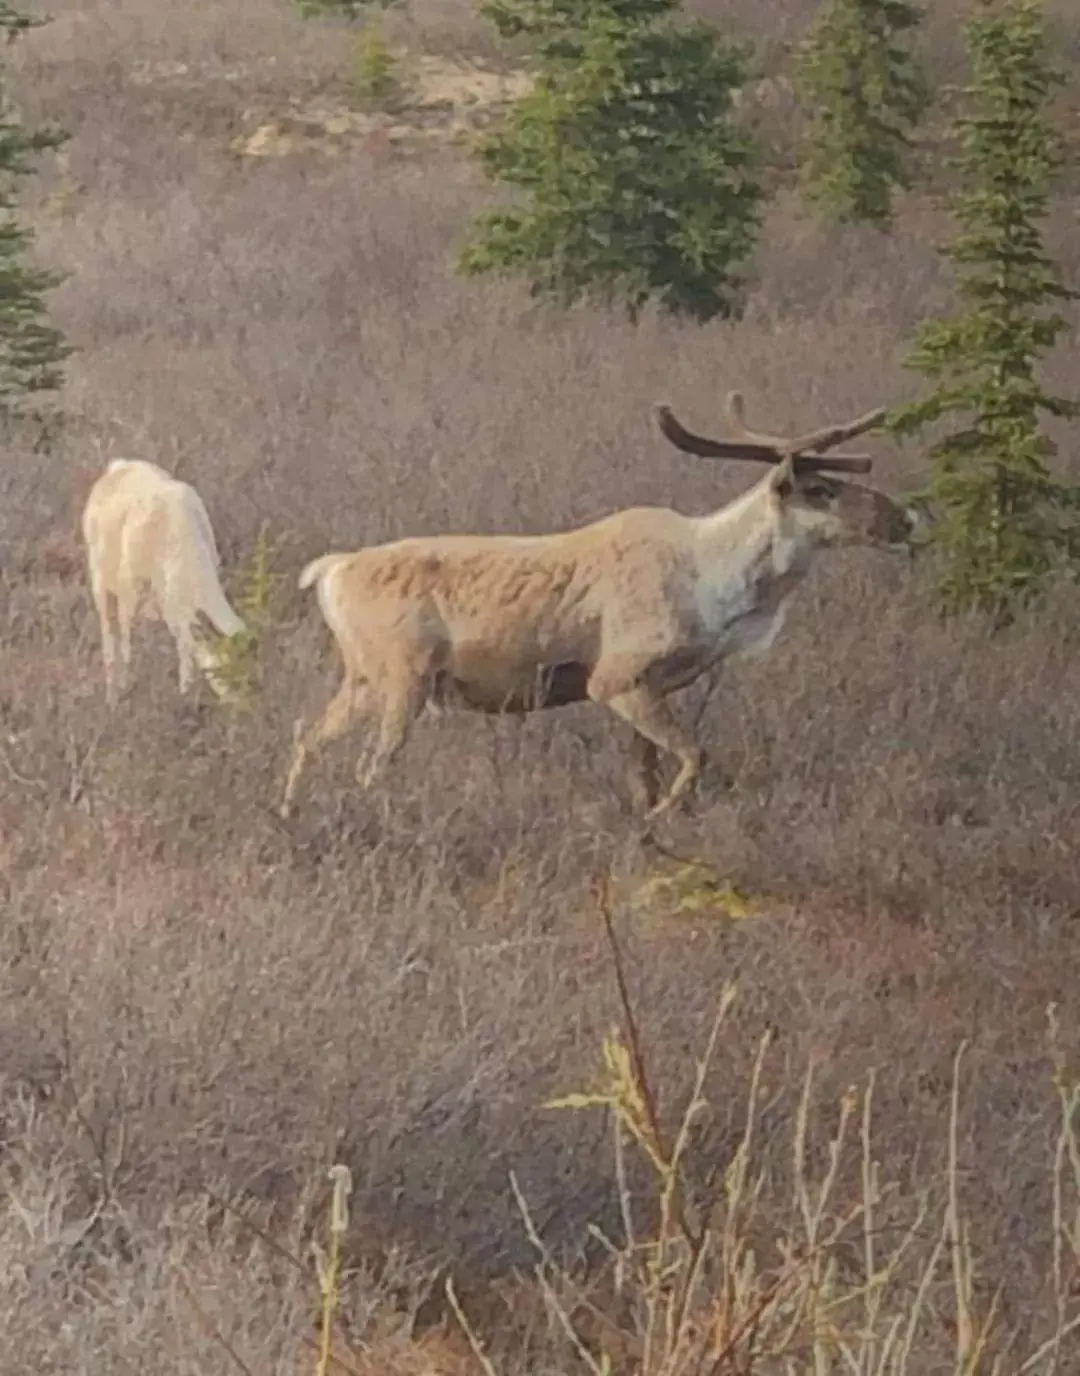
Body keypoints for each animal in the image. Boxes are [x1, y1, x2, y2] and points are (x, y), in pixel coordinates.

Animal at [282, 390, 913, 814]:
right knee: (370, 764)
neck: (715, 584)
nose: (905, 518)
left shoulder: (654, 687)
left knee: (307, 736)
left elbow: (647, 774)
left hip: (364, 677)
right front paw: (662, 821)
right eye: (820, 489)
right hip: (404, 677)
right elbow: (696, 757)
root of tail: (330, 571)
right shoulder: (615, 678)